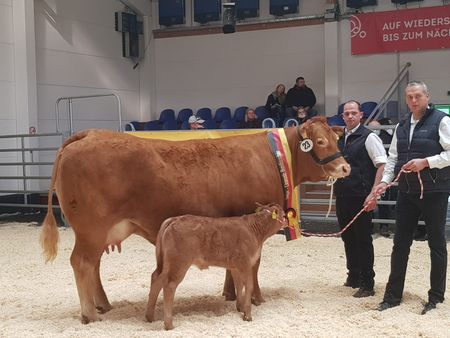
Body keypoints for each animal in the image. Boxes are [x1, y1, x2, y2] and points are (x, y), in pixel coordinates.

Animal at [146, 203, 286, 330]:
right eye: (284, 215)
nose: (287, 222)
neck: (254, 230)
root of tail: (174, 219)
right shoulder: (245, 264)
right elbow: (248, 286)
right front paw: (248, 315)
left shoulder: (235, 267)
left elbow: (239, 285)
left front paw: (240, 308)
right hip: (178, 264)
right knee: (169, 286)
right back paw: (169, 324)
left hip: (165, 264)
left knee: (156, 279)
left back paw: (150, 317)